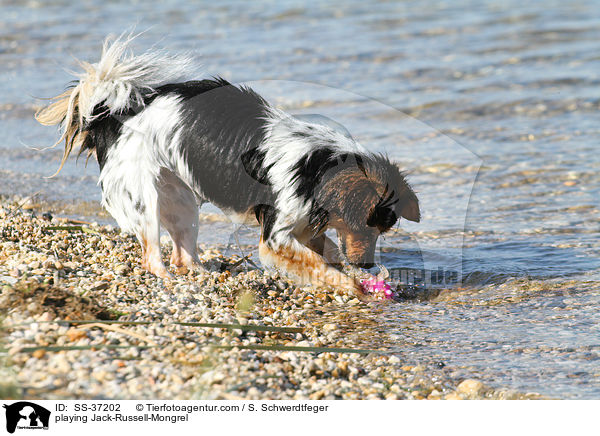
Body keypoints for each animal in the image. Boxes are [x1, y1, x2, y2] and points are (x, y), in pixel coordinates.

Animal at [37, 36, 420, 300]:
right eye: (366, 225)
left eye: (381, 231)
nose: (368, 265)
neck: (316, 165)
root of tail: (112, 116)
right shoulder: (276, 237)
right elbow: (322, 266)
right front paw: (354, 286)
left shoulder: (305, 227)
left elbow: (324, 254)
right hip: (143, 199)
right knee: (153, 257)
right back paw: (168, 280)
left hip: (181, 200)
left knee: (183, 255)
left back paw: (205, 274)